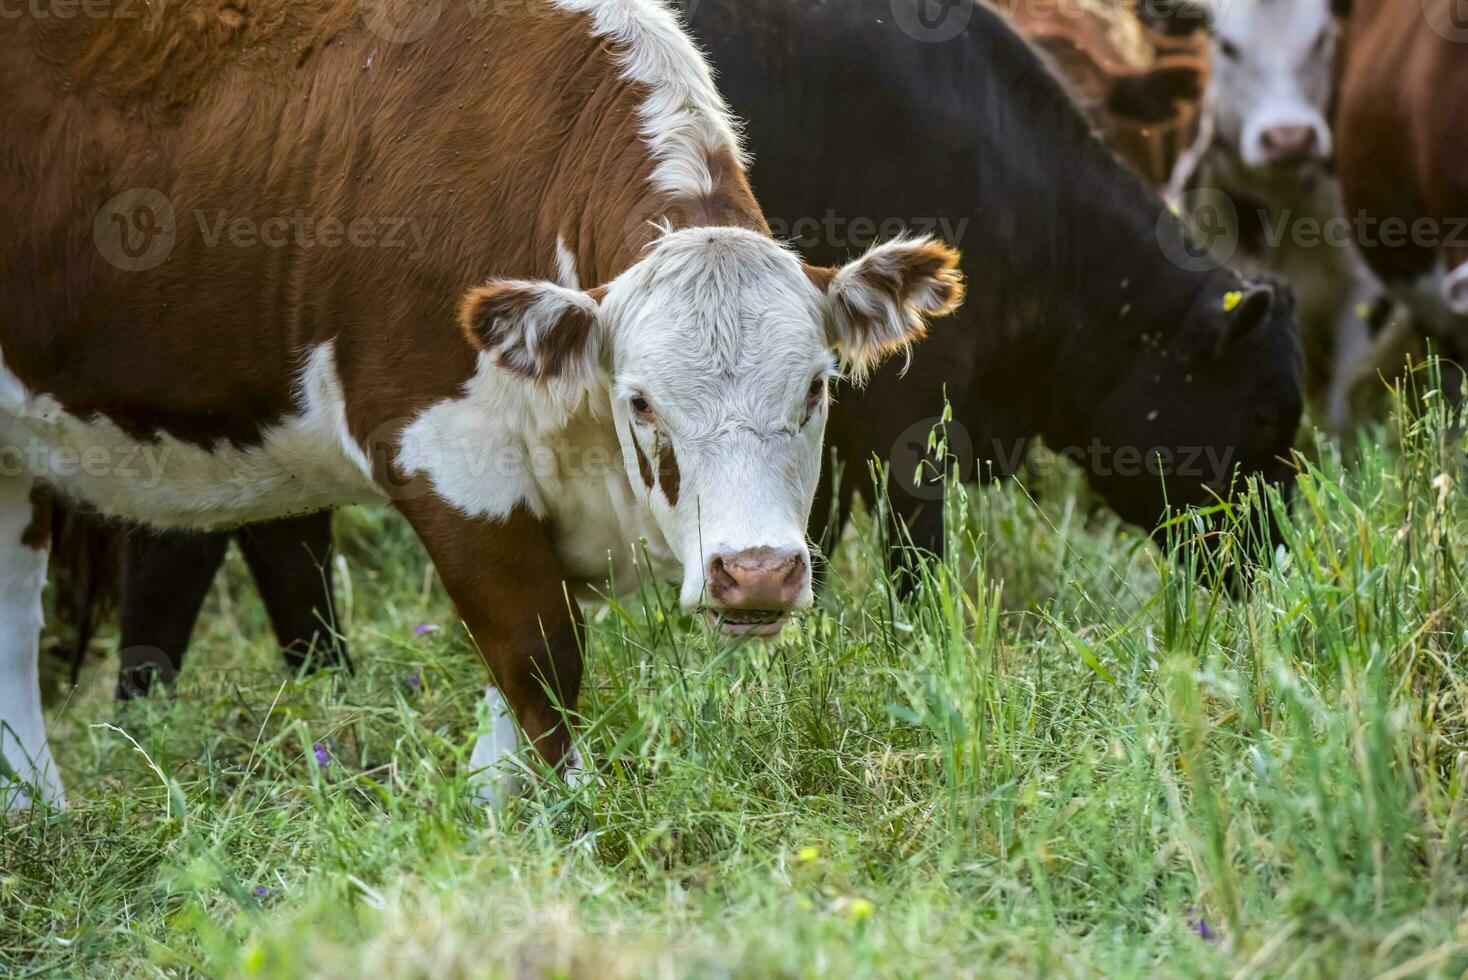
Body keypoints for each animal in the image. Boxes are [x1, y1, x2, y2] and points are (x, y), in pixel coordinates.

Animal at [0, 0, 963, 809]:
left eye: (815, 386)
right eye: (642, 401)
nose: (757, 572)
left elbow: (521, 691)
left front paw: (498, 815)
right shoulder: (441, 454)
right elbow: (539, 660)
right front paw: (578, 821)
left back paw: (35, 809)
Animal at [66, 0, 1297, 695]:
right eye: (1262, 419)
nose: (1281, 566)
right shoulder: (912, 419)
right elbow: (914, 560)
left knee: (269, 538)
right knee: (190, 551)